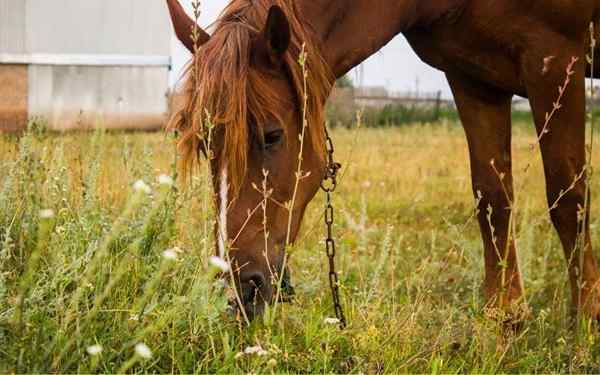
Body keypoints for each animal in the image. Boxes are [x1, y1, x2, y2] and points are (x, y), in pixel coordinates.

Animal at [166, 0, 600, 324]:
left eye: (272, 135)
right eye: (204, 145)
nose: (239, 290)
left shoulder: (554, 58)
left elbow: (568, 198)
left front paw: (586, 319)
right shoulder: (474, 78)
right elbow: (493, 198)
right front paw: (504, 317)